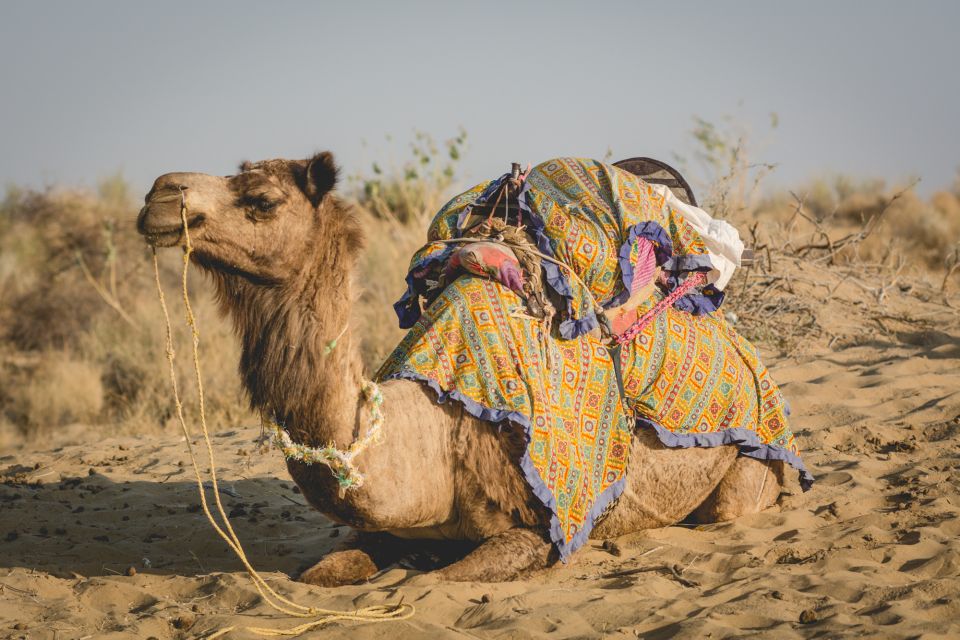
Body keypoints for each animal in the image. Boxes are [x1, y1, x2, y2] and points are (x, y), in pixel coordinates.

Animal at [137, 152, 785, 585]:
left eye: (262, 201)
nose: (158, 195)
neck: (430, 438)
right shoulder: (375, 526)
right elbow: (317, 573)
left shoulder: (538, 529)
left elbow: (447, 578)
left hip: (750, 468)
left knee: (732, 506)